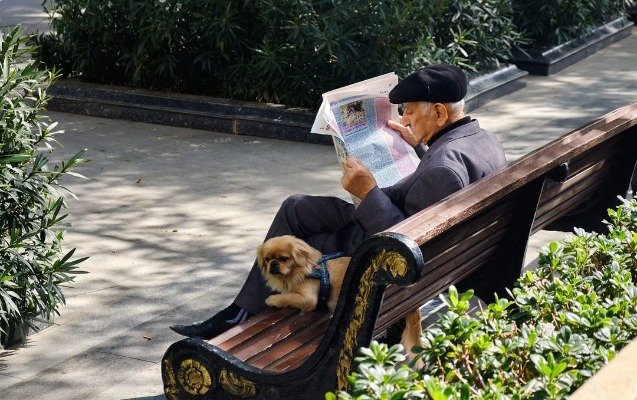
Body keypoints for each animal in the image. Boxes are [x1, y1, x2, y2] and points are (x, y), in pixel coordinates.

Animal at [253, 236, 422, 360]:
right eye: (267, 259)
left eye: (284, 258)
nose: (273, 264)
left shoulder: (308, 298)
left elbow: (288, 297)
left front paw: (273, 299)